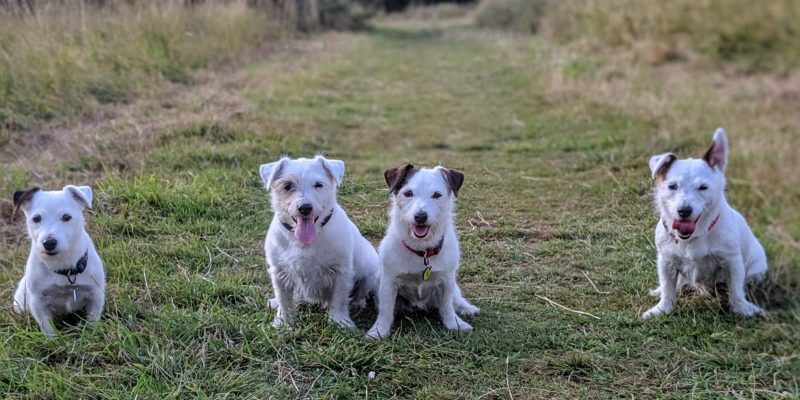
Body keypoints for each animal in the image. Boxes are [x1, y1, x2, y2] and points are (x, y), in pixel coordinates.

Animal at [11, 186, 106, 336]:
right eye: (36, 218)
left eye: (66, 217)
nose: (49, 243)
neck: (63, 266)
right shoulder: (38, 301)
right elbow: (47, 327)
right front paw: (52, 340)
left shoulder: (95, 294)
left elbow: (93, 319)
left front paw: (91, 334)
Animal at [258, 155, 380, 328]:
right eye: (287, 186)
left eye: (318, 185)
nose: (305, 208)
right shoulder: (279, 272)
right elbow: (284, 300)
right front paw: (283, 322)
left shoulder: (341, 271)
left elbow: (339, 299)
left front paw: (340, 322)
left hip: (369, 277)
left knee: (360, 293)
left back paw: (357, 303)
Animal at [366, 164, 478, 340]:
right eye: (408, 193)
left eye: (437, 195)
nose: (420, 216)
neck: (422, 250)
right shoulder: (388, 282)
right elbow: (385, 310)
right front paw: (379, 330)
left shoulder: (446, 281)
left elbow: (447, 306)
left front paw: (455, 324)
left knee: (456, 299)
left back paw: (468, 308)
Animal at [644, 128, 768, 318]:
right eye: (672, 186)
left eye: (703, 187)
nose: (684, 211)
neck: (694, 237)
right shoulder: (666, 261)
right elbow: (667, 288)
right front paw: (662, 309)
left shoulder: (732, 261)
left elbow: (736, 290)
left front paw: (743, 309)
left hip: (756, 269)